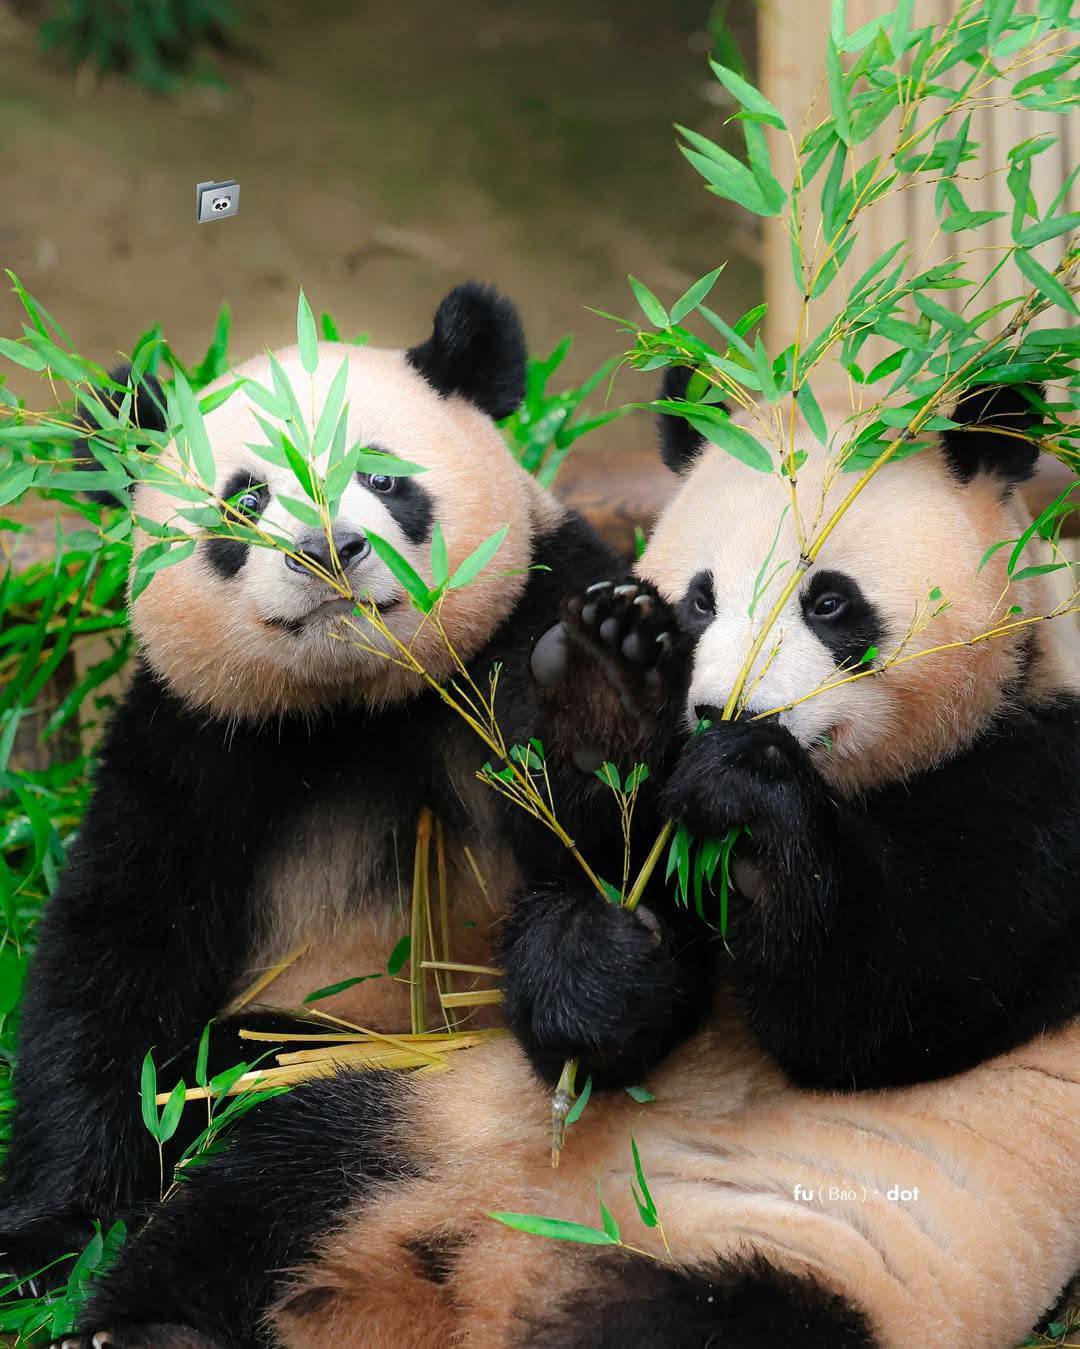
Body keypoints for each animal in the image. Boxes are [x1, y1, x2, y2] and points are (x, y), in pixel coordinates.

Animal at [0, 282, 619, 1287]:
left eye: (384, 476)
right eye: (247, 495)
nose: (327, 546)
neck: (355, 700)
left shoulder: (531, 615)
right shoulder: (195, 734)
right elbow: (114, 955)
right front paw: (54, 1230)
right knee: (235, 1061)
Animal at [66, 373, 1079, 1348]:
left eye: (829, 599)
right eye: (702, 598)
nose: (718, 711)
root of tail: (469, 1283)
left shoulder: (1048, 761)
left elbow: (886, 999)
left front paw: (751, 792)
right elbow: (607, 970)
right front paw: (607, 700)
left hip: (821, 1267)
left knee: (702, 1325)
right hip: (427, 1118)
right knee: (275, 1171)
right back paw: (143, 1329)